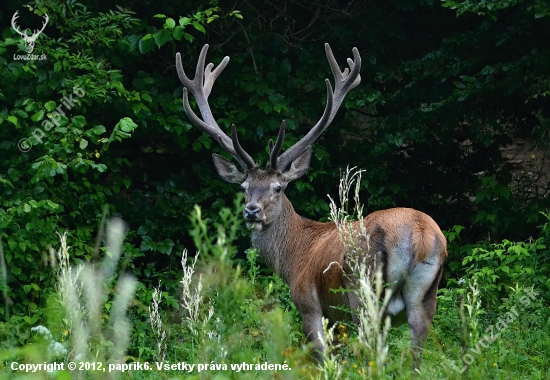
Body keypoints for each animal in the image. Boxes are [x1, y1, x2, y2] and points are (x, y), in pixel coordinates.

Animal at [177, 43, 448, 366]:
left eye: (277, 187)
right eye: (243, 188)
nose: (251, 211)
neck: (294, 255)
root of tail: (420, 233)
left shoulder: (308, 302)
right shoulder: (336, 318)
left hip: (362, 290)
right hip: (424, 296)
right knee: (417, 352)